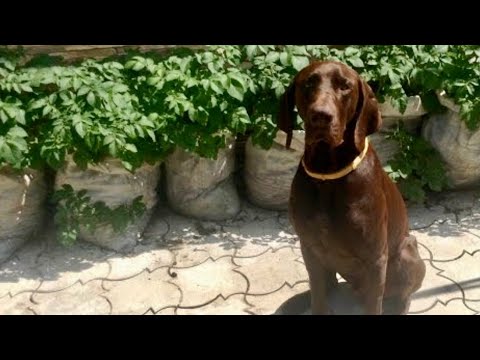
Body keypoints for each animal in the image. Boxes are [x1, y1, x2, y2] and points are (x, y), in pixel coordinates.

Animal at [280, 62, 426, 316]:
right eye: (308, 83)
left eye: (344, 86)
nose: (321, 116)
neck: (328, 175)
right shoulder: (309, 247)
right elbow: (318, 295)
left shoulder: (375, 258)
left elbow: (374, 304)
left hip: (407, 253)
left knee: (403, 295)